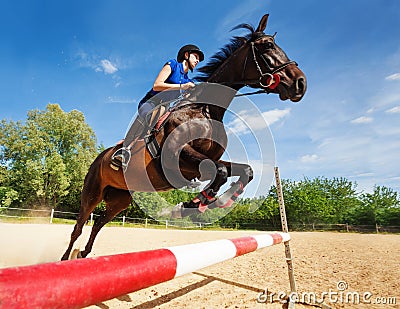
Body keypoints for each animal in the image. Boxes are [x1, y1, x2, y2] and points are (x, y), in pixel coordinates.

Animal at [61, 14, 308, 260]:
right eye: (267, 45)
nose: (301, 83)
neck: (205, 110)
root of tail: (98, 157)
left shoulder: (202, 163)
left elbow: (243, 170)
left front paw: (214, 201)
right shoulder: (175, 157)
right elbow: (220, 171)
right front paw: (196, 203)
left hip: (120, 199)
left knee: (98, 223)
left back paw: (83, 254)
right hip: (92, 193)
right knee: (79, 227)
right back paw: (65, 258)